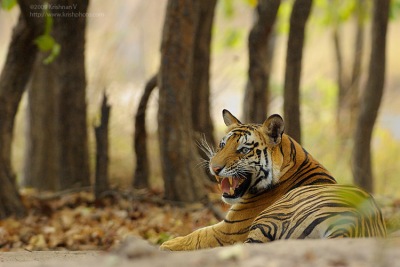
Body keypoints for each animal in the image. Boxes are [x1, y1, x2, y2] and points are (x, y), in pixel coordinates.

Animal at [160, 110, 388, 251]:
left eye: (243, 150)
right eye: (222, 145)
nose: (214, 168)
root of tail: (347, 228)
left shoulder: (229, 230)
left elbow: (197, 234)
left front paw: (167, 245)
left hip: (269, 217)